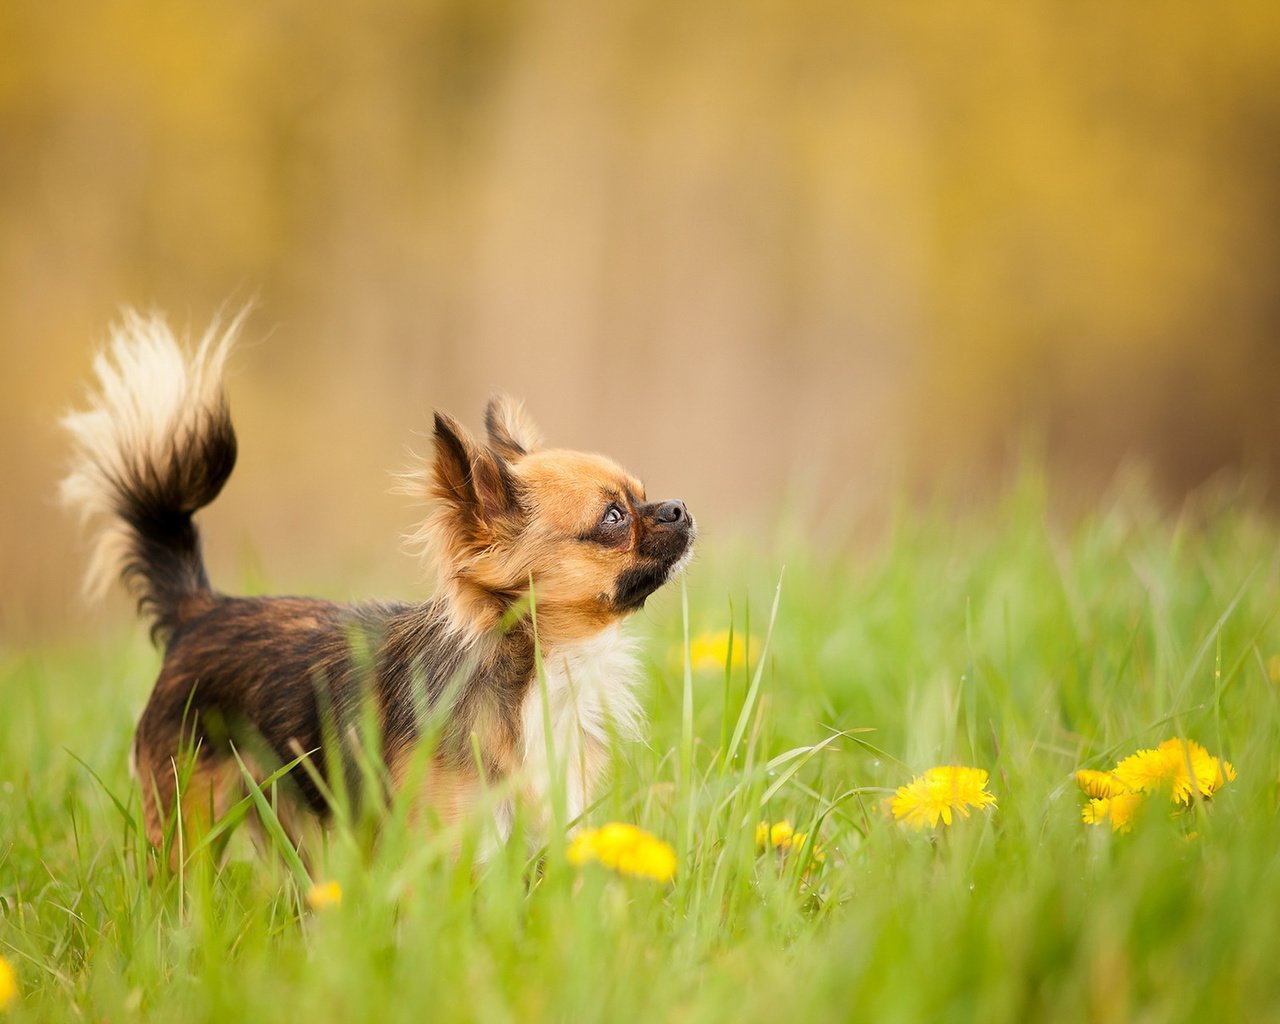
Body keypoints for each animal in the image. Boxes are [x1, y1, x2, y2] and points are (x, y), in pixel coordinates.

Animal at [63, 312, 696, 865]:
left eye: (644, 495)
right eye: (614, 517)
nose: (680, 507)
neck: (543, 668)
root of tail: (202, 611)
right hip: (189, 821)